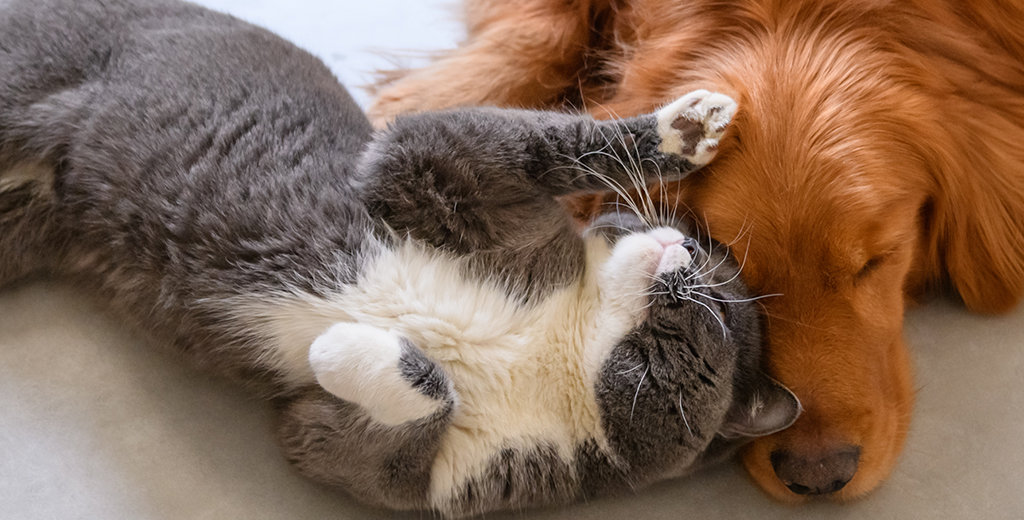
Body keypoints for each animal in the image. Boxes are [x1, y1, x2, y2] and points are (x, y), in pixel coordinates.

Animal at [0, 0, 798, 513]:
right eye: (706, 251)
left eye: (717, 310)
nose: (680, 246)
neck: (561, 343)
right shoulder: (430, 169)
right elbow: (524, 139)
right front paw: (688, 128)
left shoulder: (407, 470)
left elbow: (387, 422)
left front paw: (343, 347)